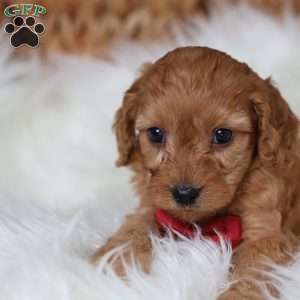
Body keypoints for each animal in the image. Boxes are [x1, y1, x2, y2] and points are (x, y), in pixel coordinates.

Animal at [92, 46, 300, 298]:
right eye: (156, 133)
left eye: (223, 135)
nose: (184, 194)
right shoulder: (153, 202)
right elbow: (135, 226)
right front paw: (114, 262)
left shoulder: (265, 232)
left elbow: (253, 272)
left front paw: (239, 295)